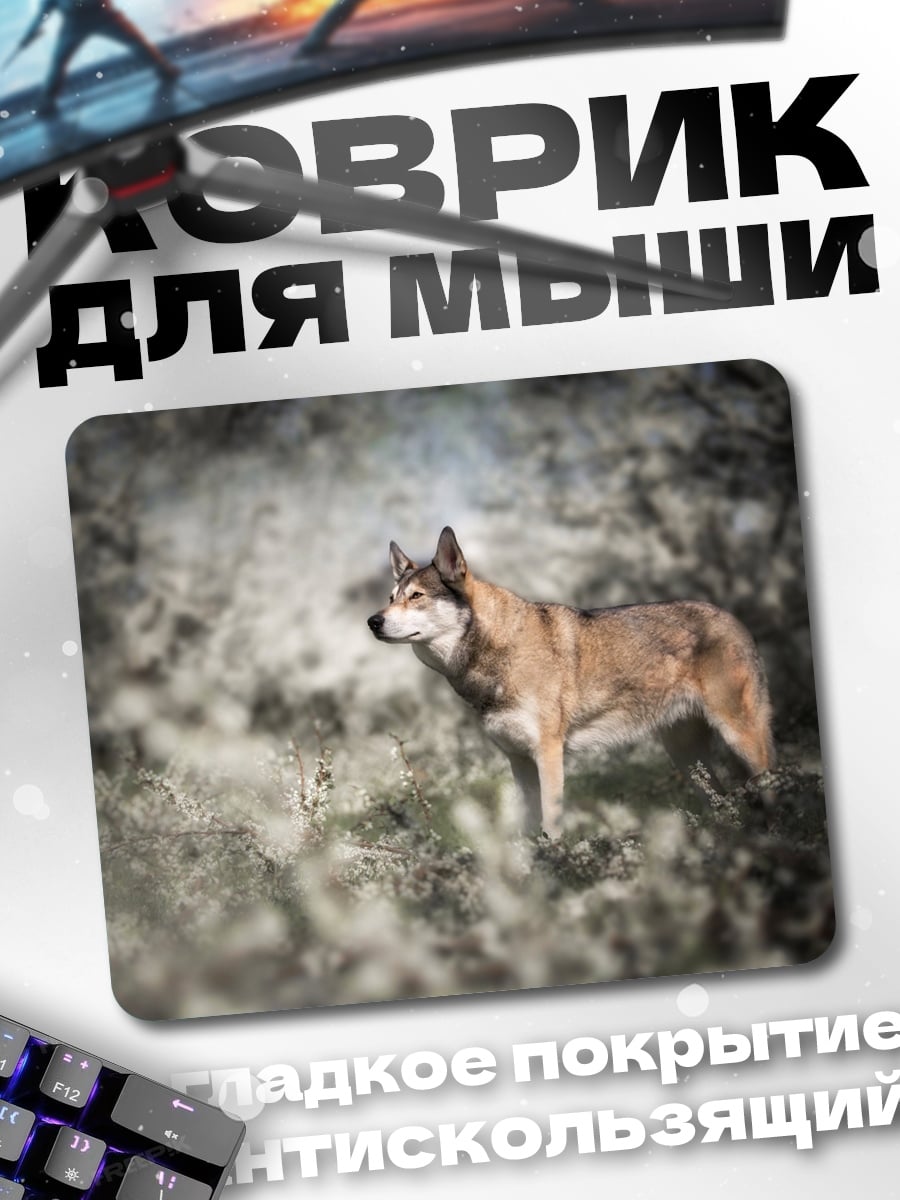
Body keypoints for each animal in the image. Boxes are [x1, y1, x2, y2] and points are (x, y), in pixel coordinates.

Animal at [367, 527, 775, 837]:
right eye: (390, 598)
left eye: (416, 596)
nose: (373, 621)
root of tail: (734, 620)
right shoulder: (518, 761)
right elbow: (528, 828)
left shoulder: (548, 753)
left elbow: (551, 824)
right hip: (686, 756)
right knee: (721, 798)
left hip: (740, 739)